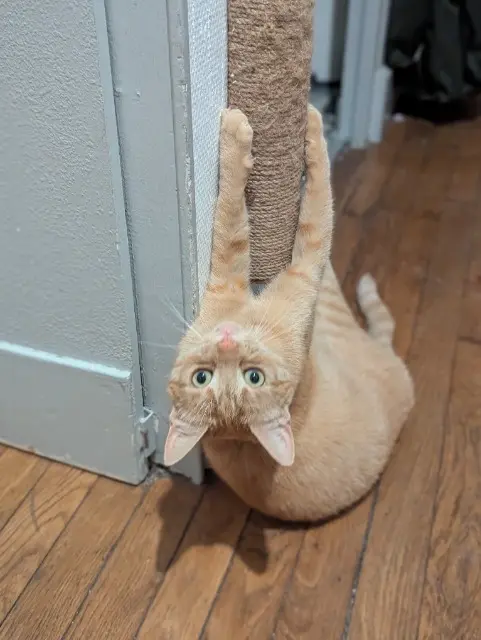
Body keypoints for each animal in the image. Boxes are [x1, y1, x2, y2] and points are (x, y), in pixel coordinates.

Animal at [164, 106, 414, 522]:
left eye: (253, 377)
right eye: (203, 378)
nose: (227, 342)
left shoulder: (295, 273)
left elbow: (237, 215)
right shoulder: (303, 269)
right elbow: (308, 201)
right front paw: (299, 124)